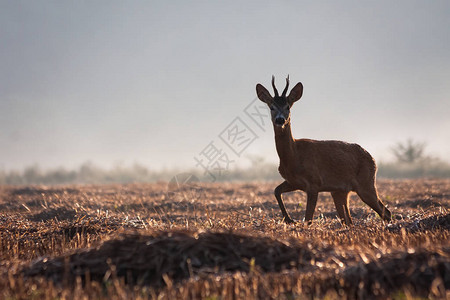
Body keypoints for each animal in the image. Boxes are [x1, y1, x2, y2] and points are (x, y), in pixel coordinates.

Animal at [256, 76, 390, 224]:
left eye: (288, 107)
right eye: (272, 107)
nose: (280, 120)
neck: (294, 157)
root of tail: (373, 160)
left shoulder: (314, 183)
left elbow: (308, 218)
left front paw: (294, 221)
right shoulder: (293, 181)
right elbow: (276, 191)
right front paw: (289, 219)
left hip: (366, 183)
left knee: (385, 211)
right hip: (340, 191)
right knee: (349, 220)